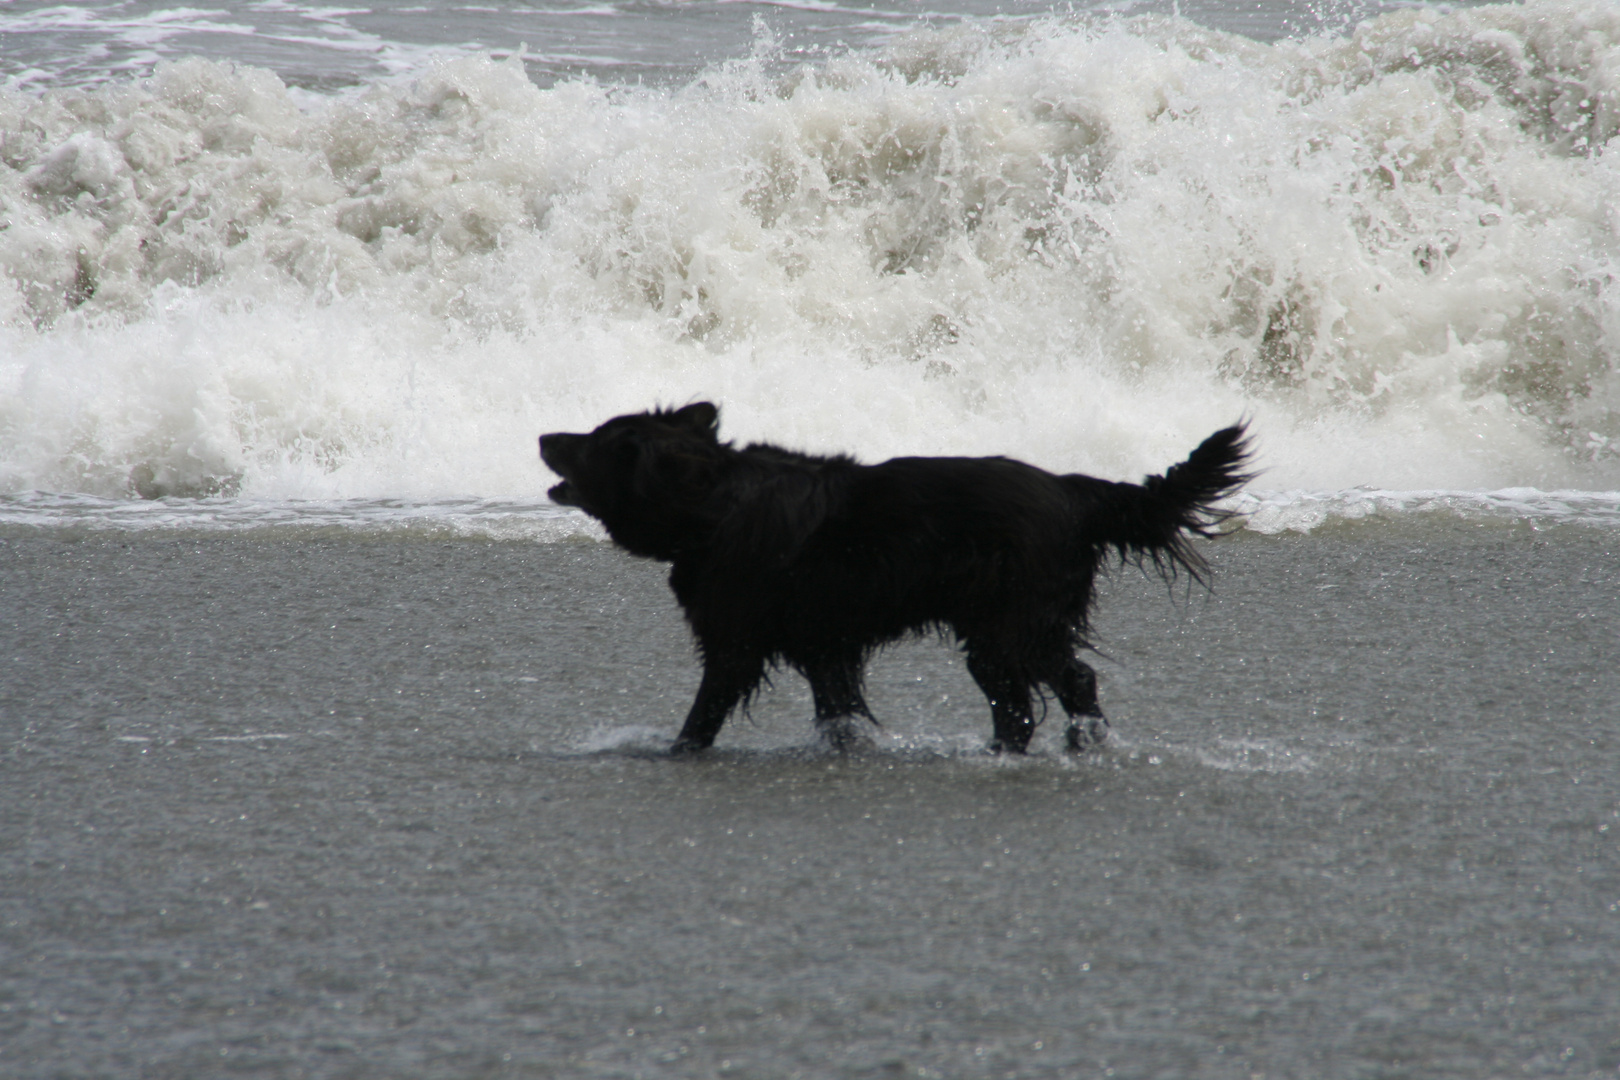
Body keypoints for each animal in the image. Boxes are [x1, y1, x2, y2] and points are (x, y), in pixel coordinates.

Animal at [544, 403, 1250, 751]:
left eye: (591, 441)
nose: (544, 437)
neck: (712, 505)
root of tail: (1074, 491)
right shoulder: (824, 648)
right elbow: (839, 715)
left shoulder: (735, 647)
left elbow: (703, 717)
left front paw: (676, 751)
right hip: (999, 636)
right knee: (1025, 706)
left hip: (1009, 629)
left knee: (1064, 684)